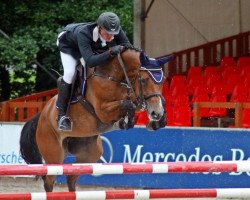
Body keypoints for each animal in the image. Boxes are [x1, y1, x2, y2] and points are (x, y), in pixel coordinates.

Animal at [19, 47, 173, 191]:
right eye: (144, 80)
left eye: (163, 81)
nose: (156, 113)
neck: (114, 76)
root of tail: (42, 115)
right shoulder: (102, 111)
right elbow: (128, 104)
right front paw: (126, 122)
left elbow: (138, 104)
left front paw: (156, 121)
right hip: (54, 154)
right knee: (49, 181)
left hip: (90, 153)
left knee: (71, 176)